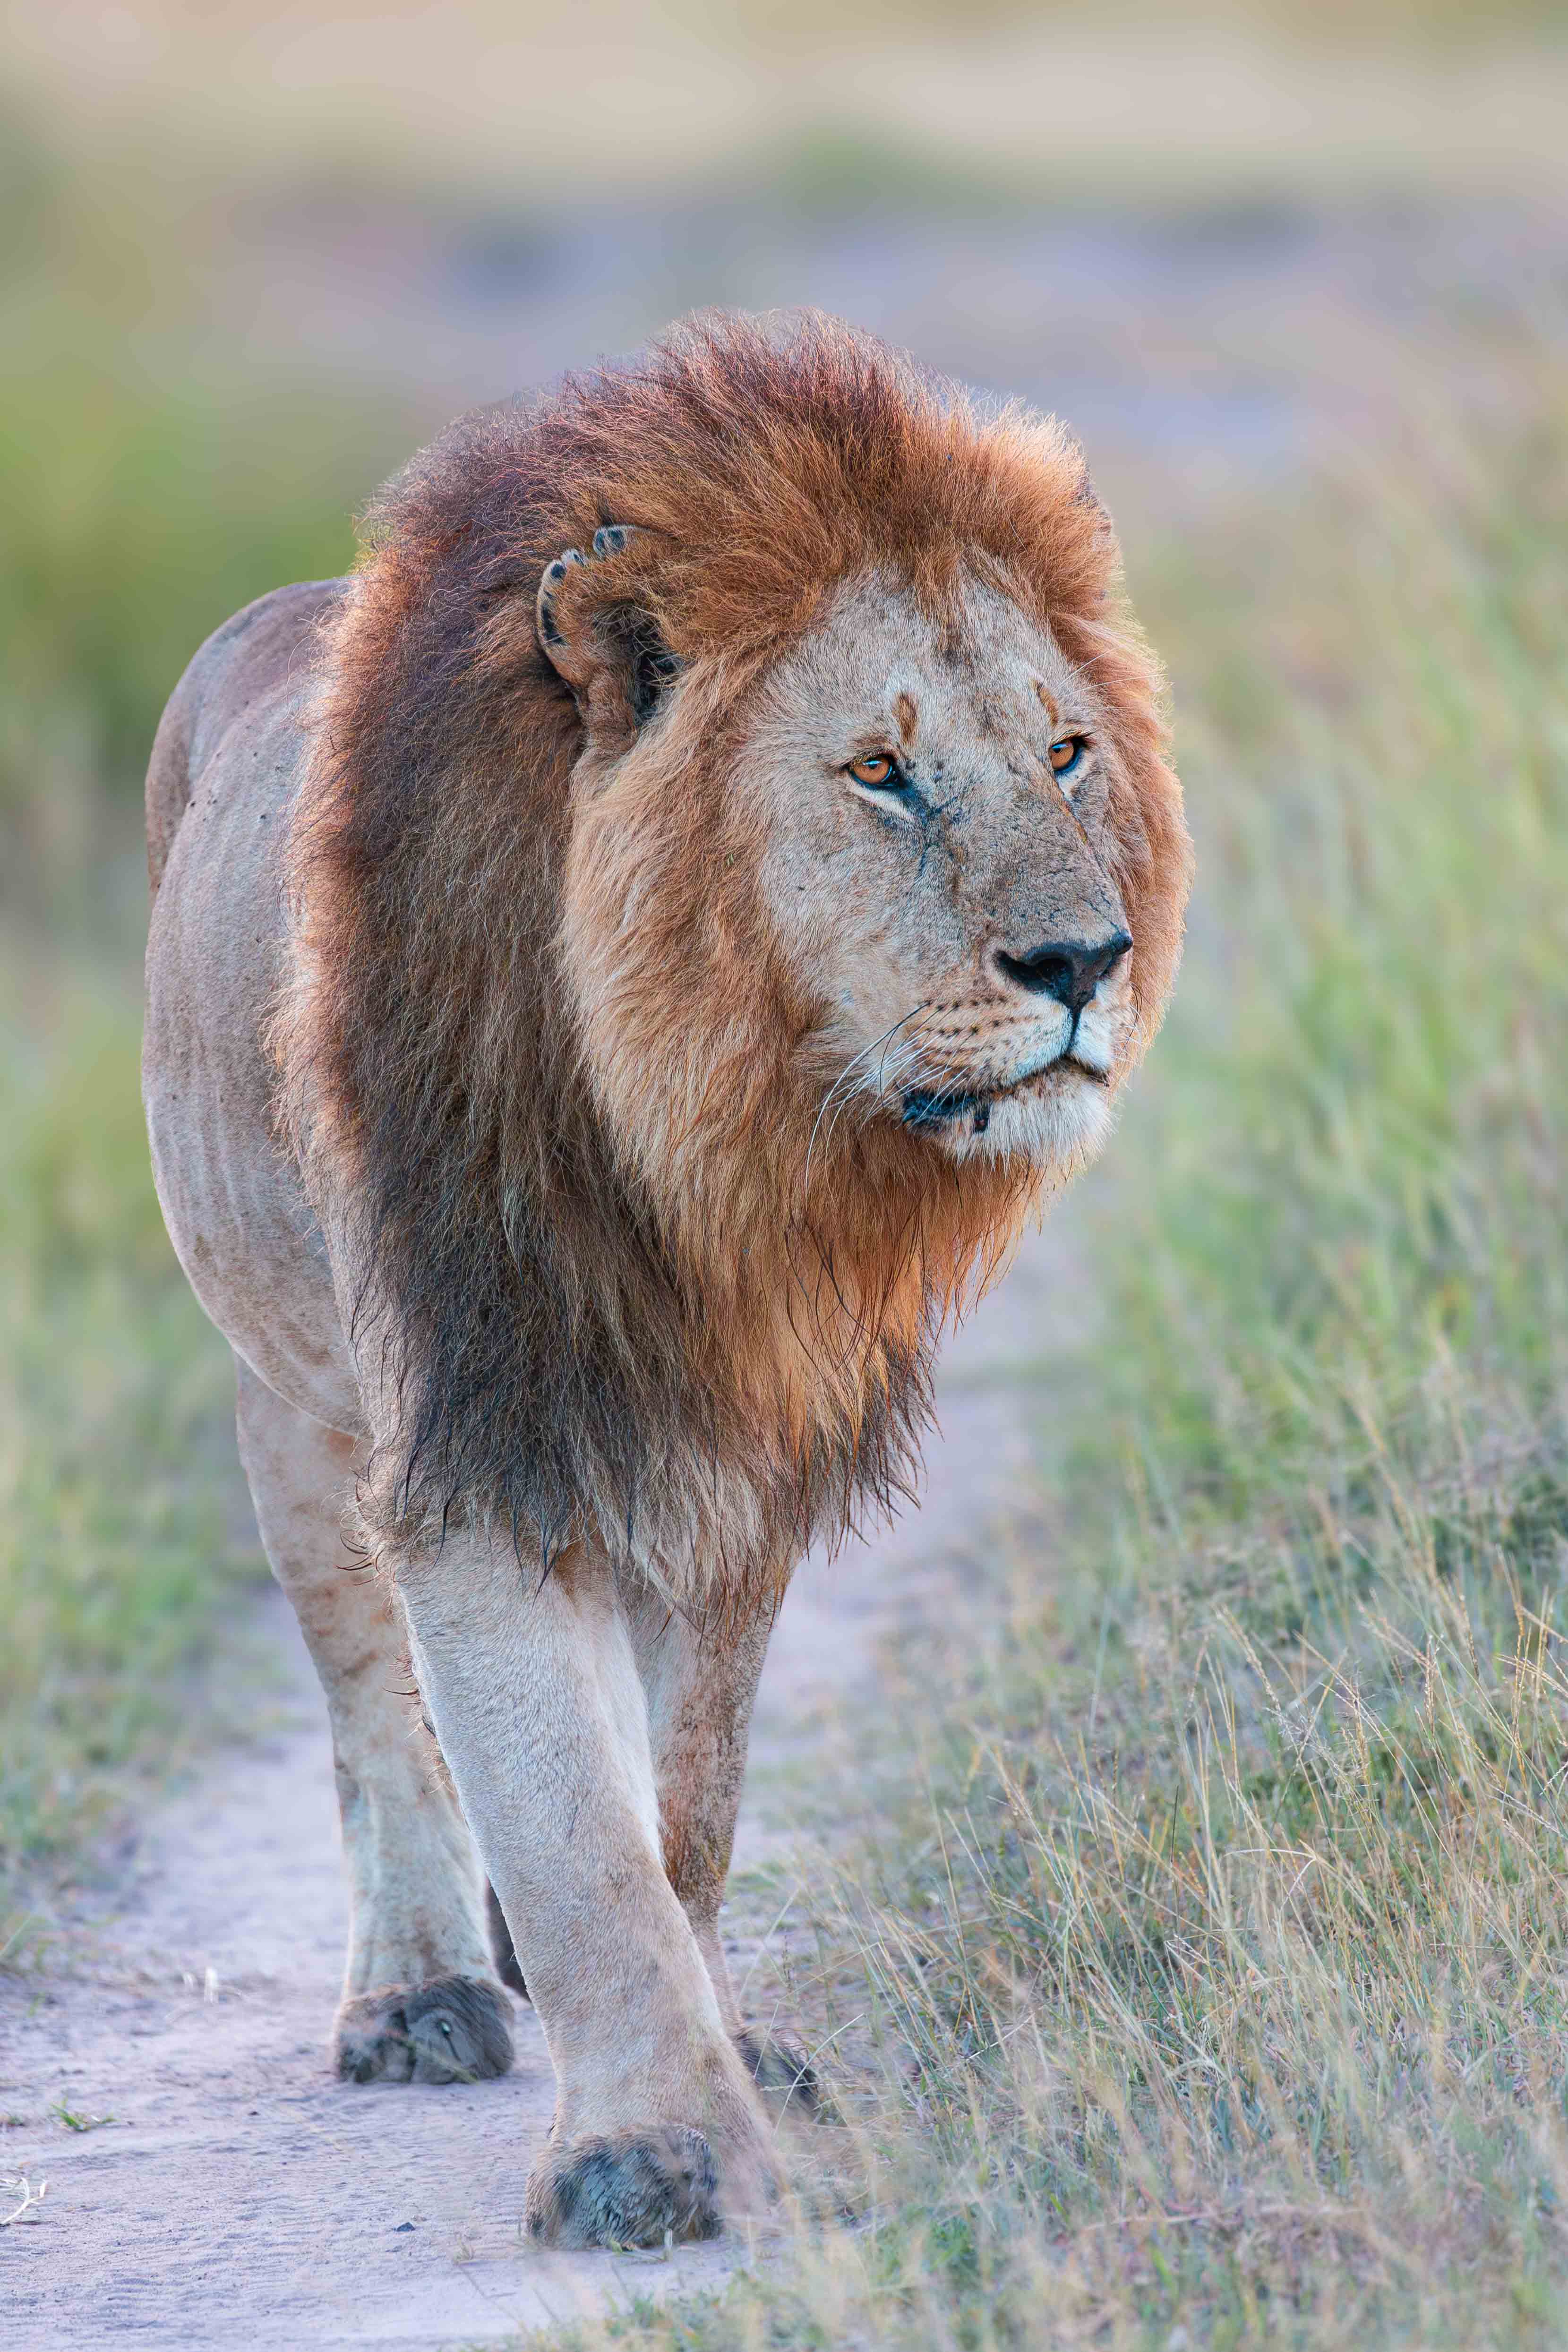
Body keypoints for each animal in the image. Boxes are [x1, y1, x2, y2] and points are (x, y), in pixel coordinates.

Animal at [141, 313, 1190, 2248]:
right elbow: (575, 1839)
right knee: (368, 1710)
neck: (706, 1143)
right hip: (287, 1400)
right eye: (880, 771)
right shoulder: (482, 1434)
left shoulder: (741, 1450)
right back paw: (417, 1989)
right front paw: (648, 2152)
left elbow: (679, 1815)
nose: (1087, 960)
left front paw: (710, 2061)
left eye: (1068, 751)